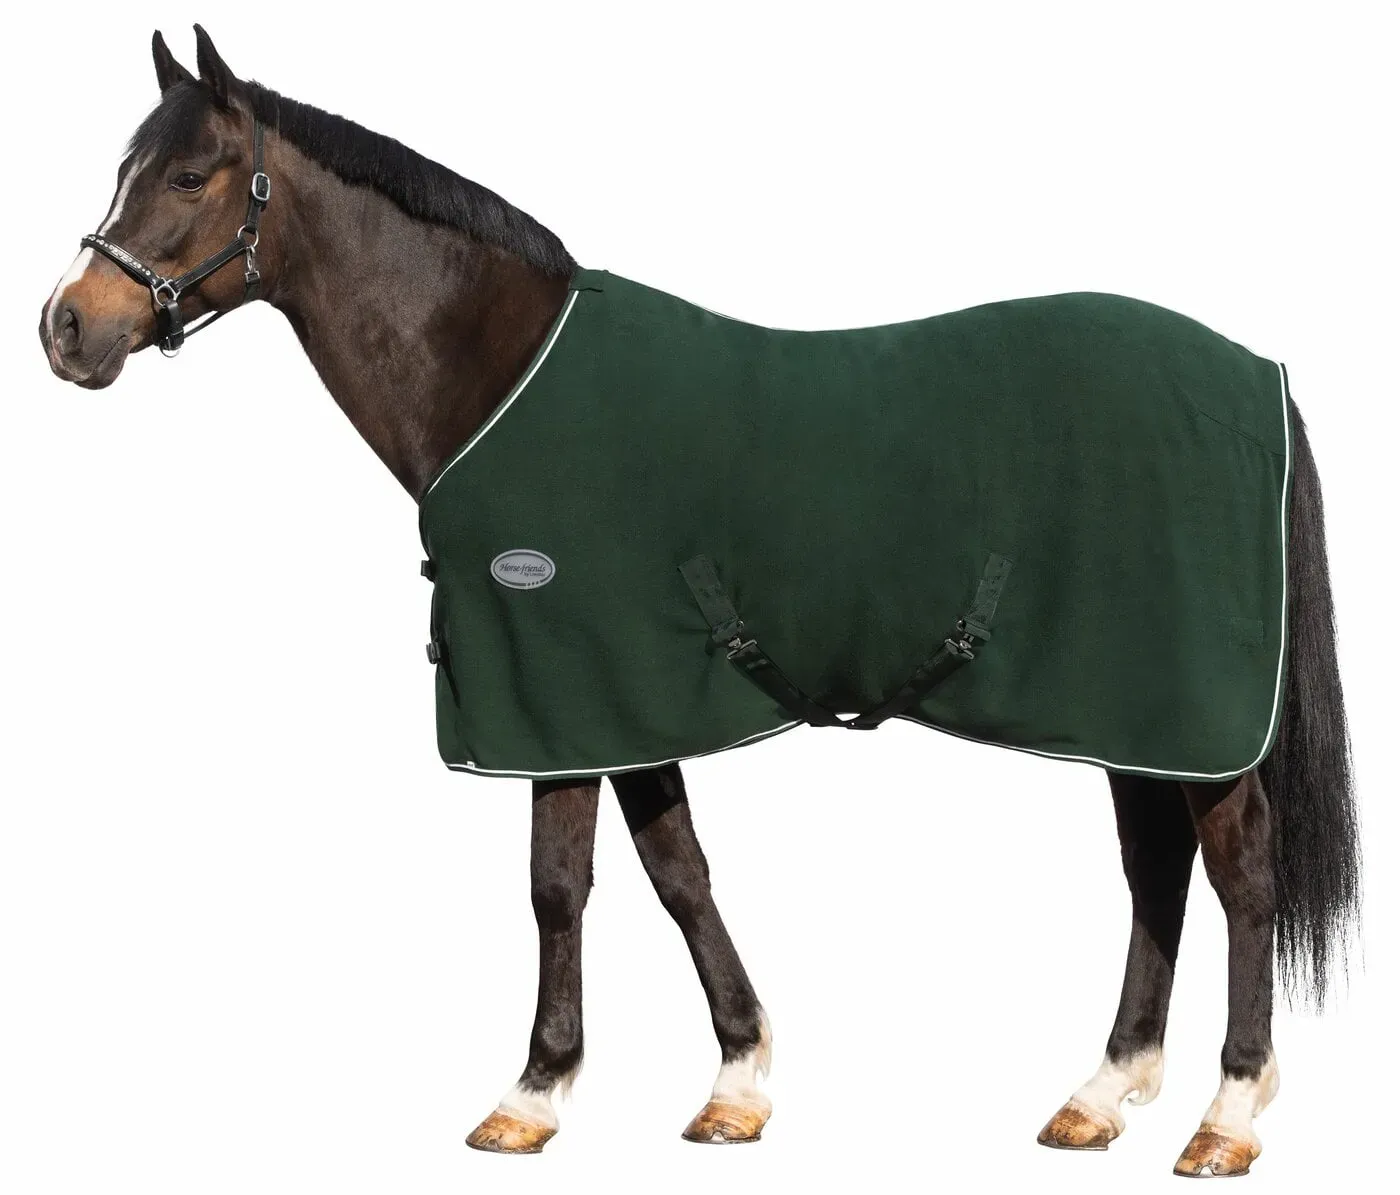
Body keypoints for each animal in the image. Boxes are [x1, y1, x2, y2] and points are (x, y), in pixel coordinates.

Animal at [39, 27, 1360, 1176]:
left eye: (192, 174)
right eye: (125, 169)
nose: (66, 328)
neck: (498, 377)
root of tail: (1252, 372)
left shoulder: (557, 690)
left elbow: (557, 886)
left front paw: (531, 1094)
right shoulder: (627, 697)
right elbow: (679, 871)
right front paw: (736, 1082)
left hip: (1184, 711)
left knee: (1238, 876)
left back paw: (1225, 1117)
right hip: (1127, 708)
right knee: (1153, 869)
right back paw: (1099, 1093)